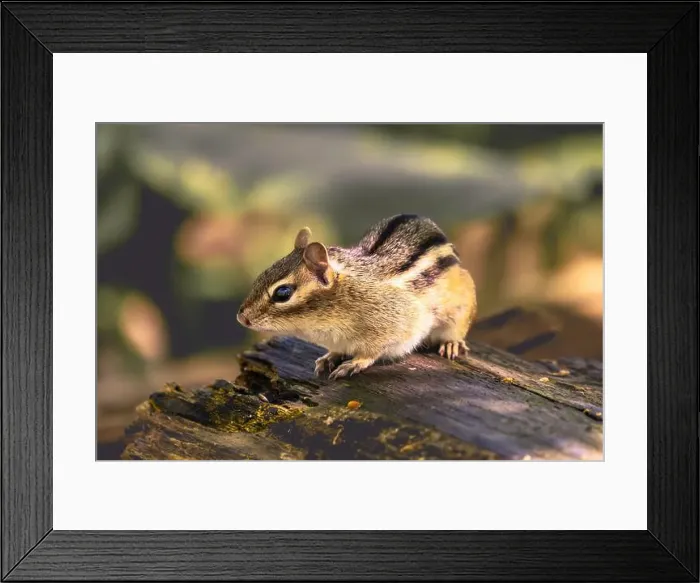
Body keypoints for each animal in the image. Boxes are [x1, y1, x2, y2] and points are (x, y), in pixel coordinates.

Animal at [237, 214, 477, 380]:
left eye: (283, 293)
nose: (241, 317)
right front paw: (330, 357)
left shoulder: (397, 326)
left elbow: (374, 351)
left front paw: (355, 362)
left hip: (460, 306)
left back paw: (452, 343)